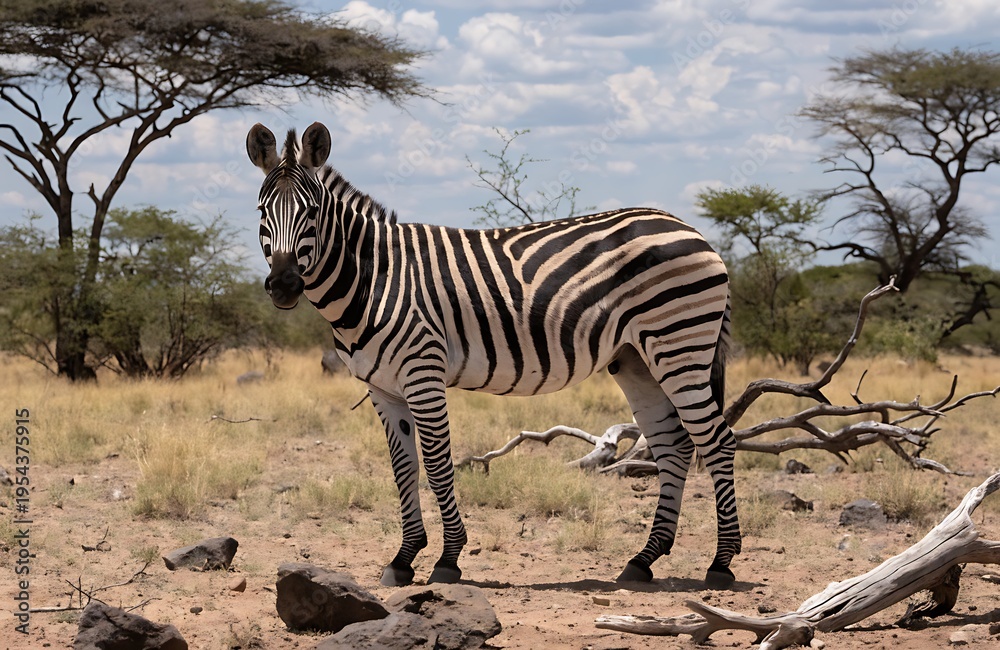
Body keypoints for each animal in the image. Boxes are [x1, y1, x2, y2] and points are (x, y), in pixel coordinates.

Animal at [246, 121, 741, 589]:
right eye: (261, 212)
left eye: (312, 212)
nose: (284, 286)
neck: (374, 277)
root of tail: (689, 228)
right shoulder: (382, 389)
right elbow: (403, 468)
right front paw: (403, 559)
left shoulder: (423, 372)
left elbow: (437, 464)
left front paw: (447, 559)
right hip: (636, 358)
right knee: (673, 445)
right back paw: (643, 560)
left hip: (680, 344)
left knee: (717, 441)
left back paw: (721, 563)